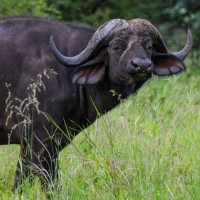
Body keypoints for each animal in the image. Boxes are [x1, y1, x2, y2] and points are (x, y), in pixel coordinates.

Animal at [0, 16, 192, 189]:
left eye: (149, 46)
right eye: (116, 47)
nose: (143, 65)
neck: (65, 73)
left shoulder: (33, 144)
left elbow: (20, 180)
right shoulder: (42, 140)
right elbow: (50, 183)